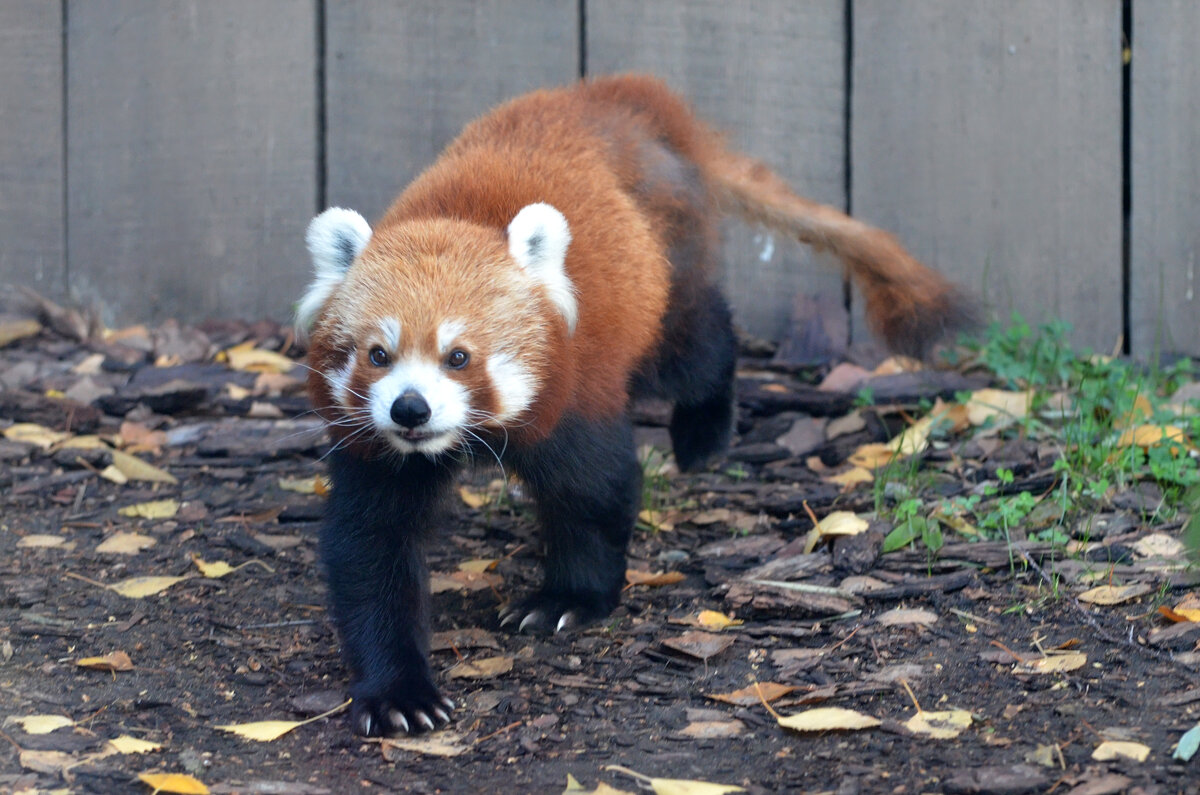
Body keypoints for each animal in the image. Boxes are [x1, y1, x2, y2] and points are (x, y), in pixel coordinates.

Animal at [300, 76, 974, 739]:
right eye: (378, 354)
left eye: (459, 356)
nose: (410, 410)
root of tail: (623, 96)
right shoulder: (376, 447)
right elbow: (372, 549)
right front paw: (398, 693)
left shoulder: (575, 389)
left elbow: (593, 492)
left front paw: (567, 599)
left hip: (666, 272)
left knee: (699, 342)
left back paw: (704, 432)